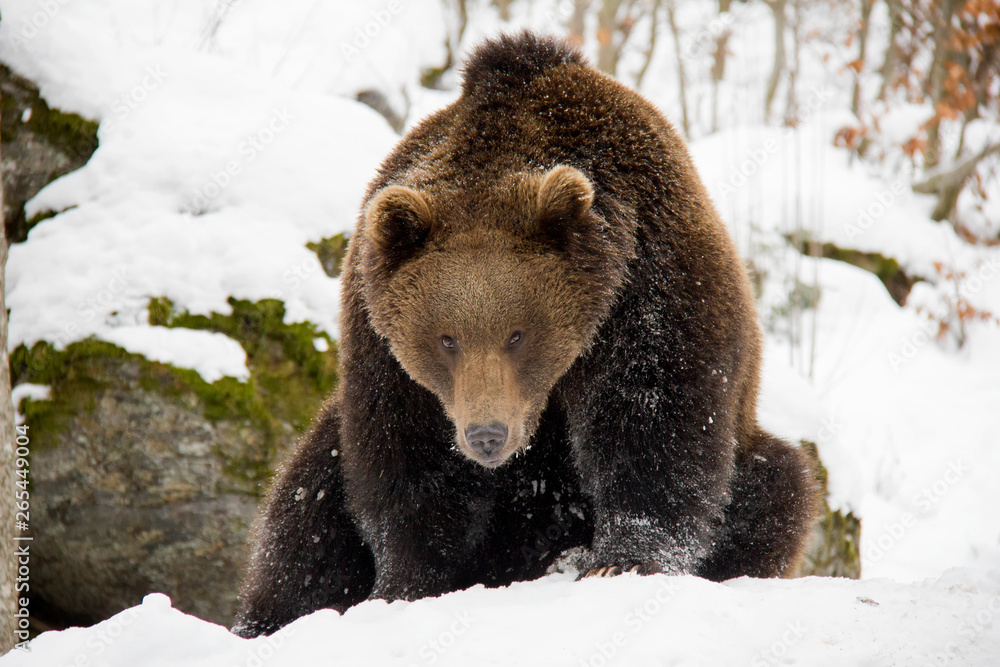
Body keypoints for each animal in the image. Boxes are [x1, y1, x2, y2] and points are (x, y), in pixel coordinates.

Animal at [232, 31, 820, 638]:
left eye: (517, 335)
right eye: (446, 339)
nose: (487, 436)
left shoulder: (650, 287)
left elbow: (656, 421)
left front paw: (621, 560)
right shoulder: (382, 344)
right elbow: (405, 460)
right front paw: (403, 586)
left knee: (779, 485)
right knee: (306, 506)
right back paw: (271, 616)